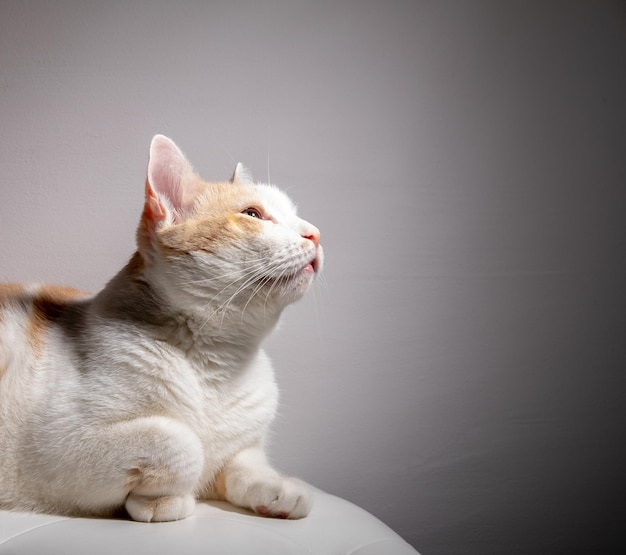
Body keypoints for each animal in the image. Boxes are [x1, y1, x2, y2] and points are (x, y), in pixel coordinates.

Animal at [0, 137, 322, 524]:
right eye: (253, 214)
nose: (316, 233)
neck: (221, 361)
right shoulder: (59, 444)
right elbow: (181, 441)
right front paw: (161, 502)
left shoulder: (243, 447)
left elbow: (245, 463)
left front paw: (277, 487)